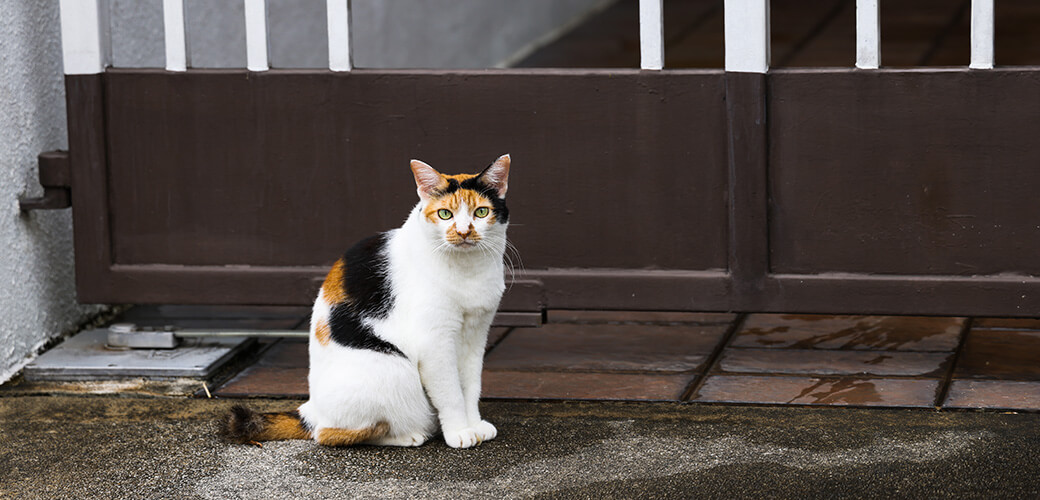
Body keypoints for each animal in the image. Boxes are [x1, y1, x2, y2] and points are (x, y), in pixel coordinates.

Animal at [221, 153, 509, 446]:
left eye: (481, 212)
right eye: (445, 214)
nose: (463, 232)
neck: (468, 271)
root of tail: (311, 409)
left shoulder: (476, 334)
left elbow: (471, 386)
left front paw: (474, 425)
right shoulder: (435, 342)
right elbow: (450, 392)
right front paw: (459, 432)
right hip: (394, 369)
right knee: (331, 434)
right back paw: (409, 436)